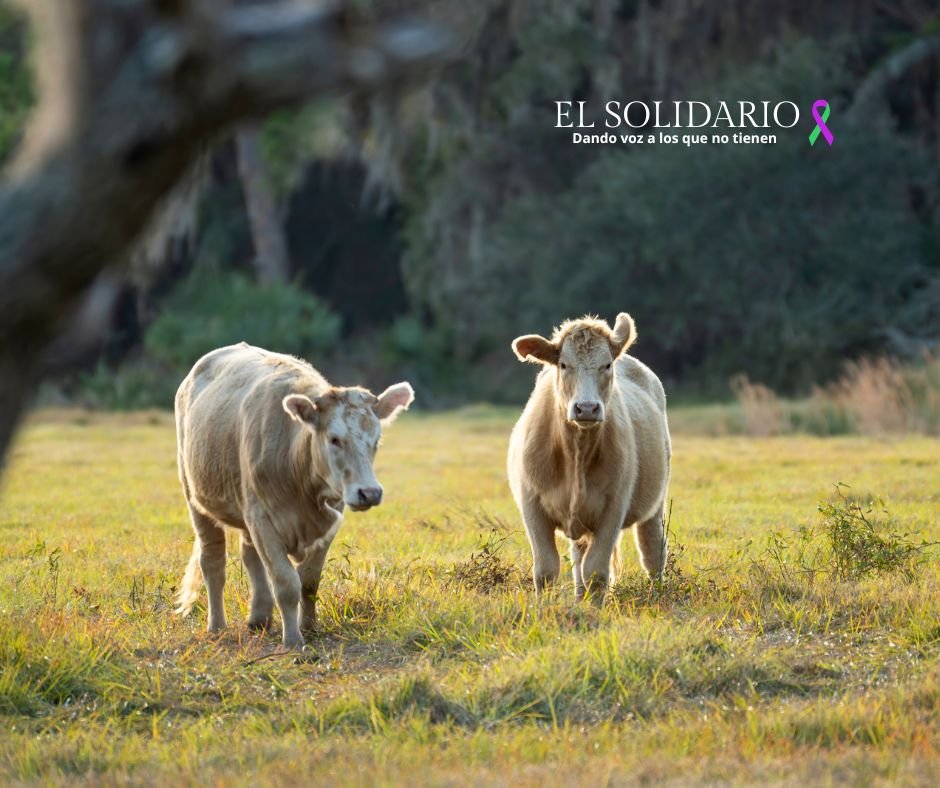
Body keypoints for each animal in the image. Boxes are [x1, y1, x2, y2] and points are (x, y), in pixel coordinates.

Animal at [173, 344, 414, 648]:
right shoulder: (263, 520)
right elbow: (286, 583)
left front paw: (308, 627)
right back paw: (217, 626)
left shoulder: (330, 518)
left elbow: (309, 581)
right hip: (196, 497)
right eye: (334, 439)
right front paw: (293, 640)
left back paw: (259, 617)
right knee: (213, 561)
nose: (369, 492)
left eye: (376, 440)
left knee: (249, 555)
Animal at [506, 310, 668, 600]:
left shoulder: (613, 508)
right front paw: (544, 608)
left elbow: (596, 571)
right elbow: (546, 570)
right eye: (563, 365)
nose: (587, 408)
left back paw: (656, 593)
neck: (576, 453)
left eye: (607, 365)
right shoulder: (532, 504)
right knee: (578, 558)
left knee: (652, 549)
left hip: (655, 502)